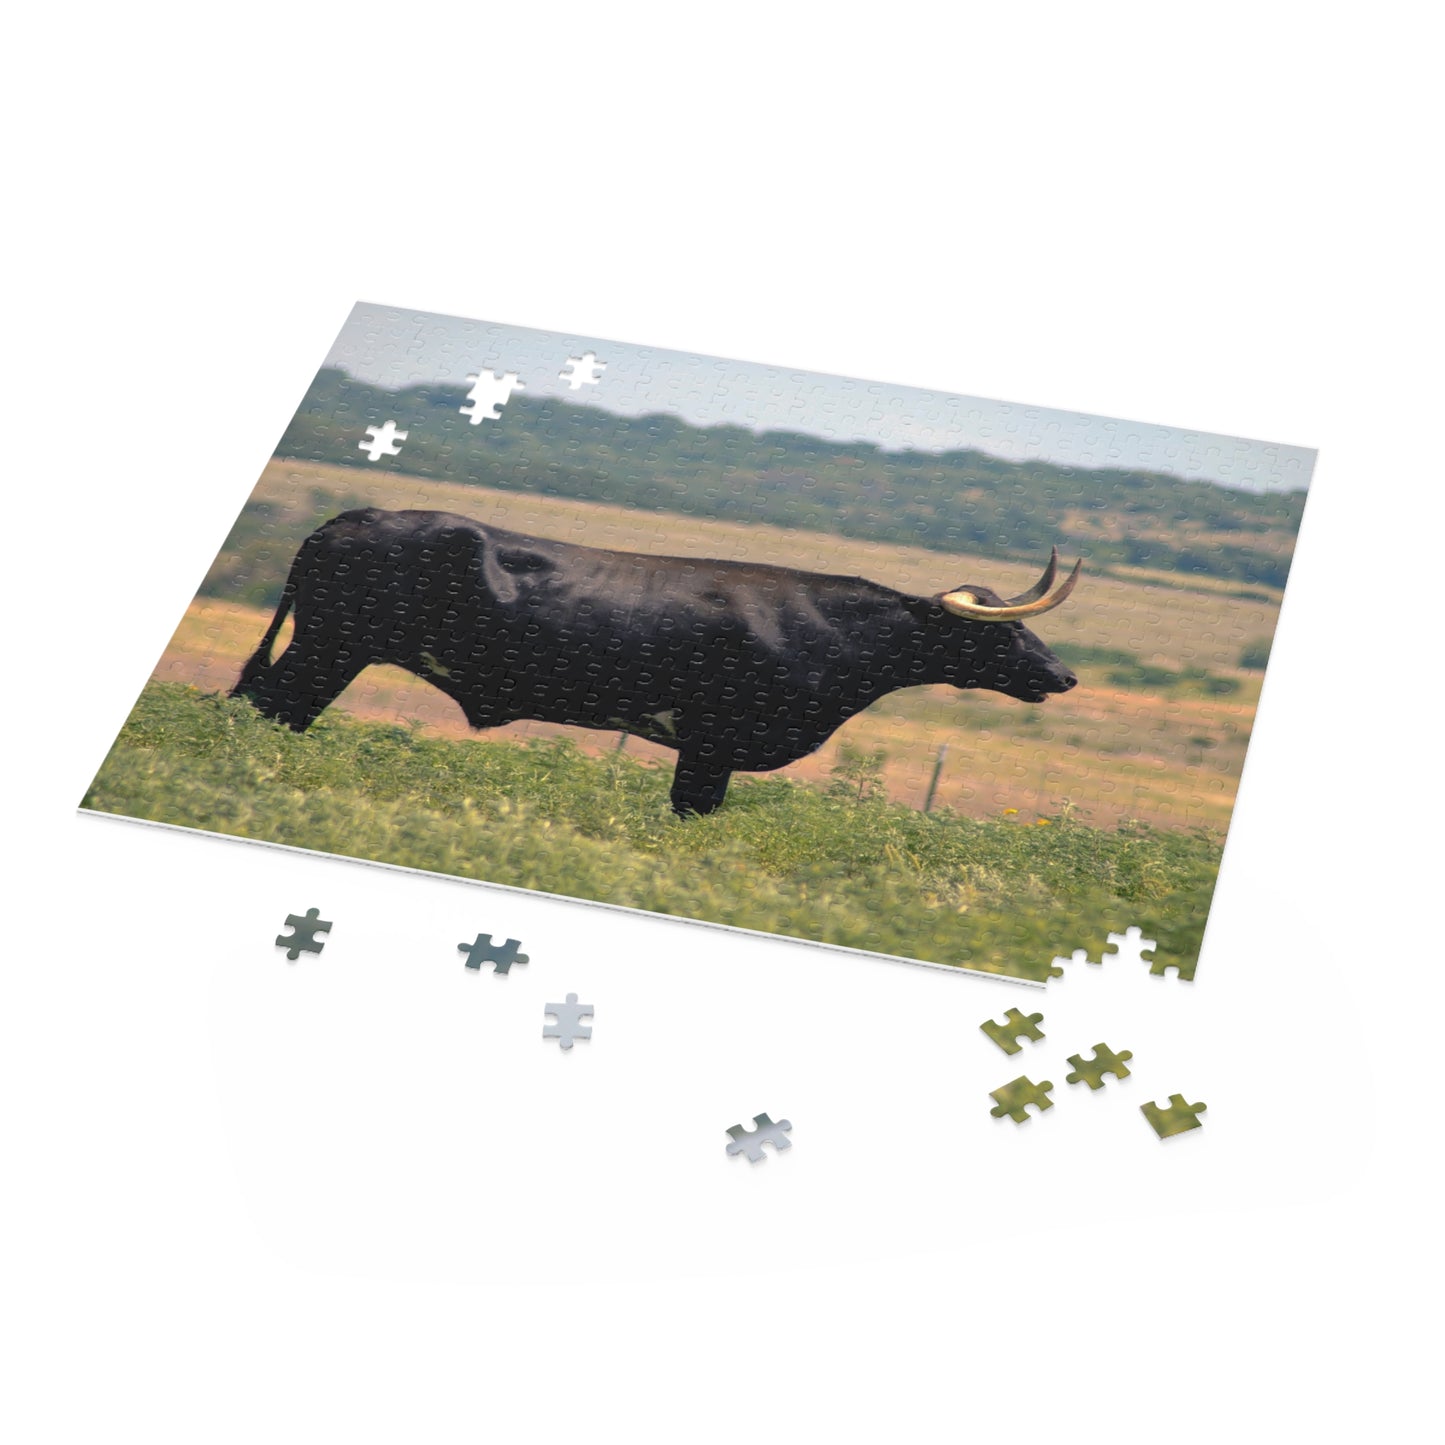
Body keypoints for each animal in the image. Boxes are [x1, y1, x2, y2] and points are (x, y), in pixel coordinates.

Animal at [231, 508, 1081, 817]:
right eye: (1002, 634)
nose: (1064, 675)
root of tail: (358, 514)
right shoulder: (711, 744)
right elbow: (690, 815)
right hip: (327, 647)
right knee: (271, 709)